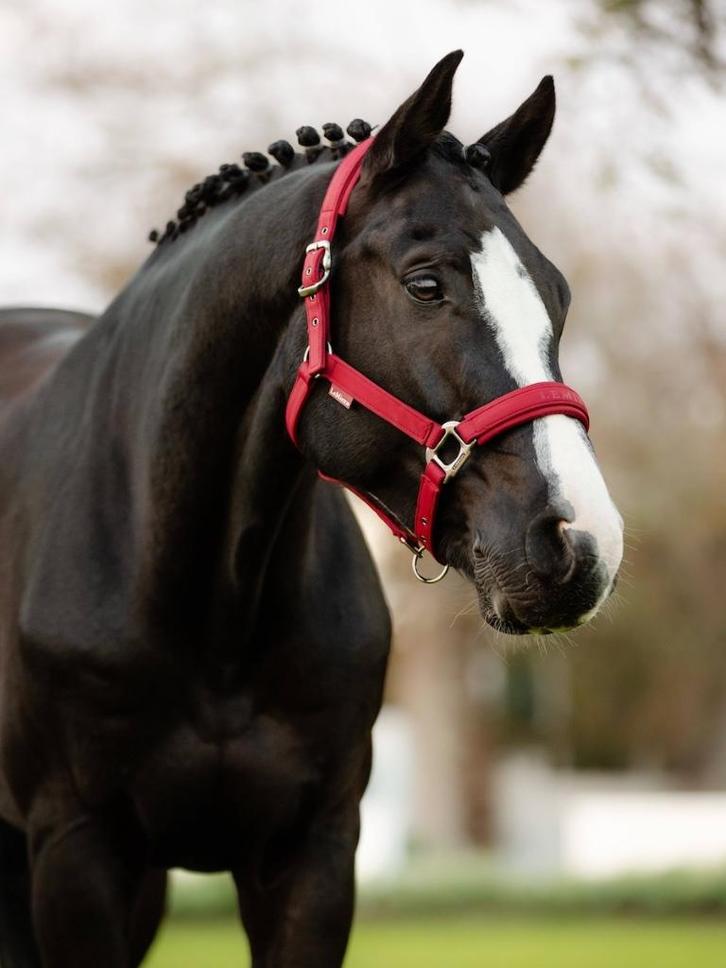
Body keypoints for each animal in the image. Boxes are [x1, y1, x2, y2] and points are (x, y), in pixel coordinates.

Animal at [0, 50, 623, 967]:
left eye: (559, 295)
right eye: (425, 283)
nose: (581, 544)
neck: (211, 609)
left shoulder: (314, 857)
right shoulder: (77, 854)